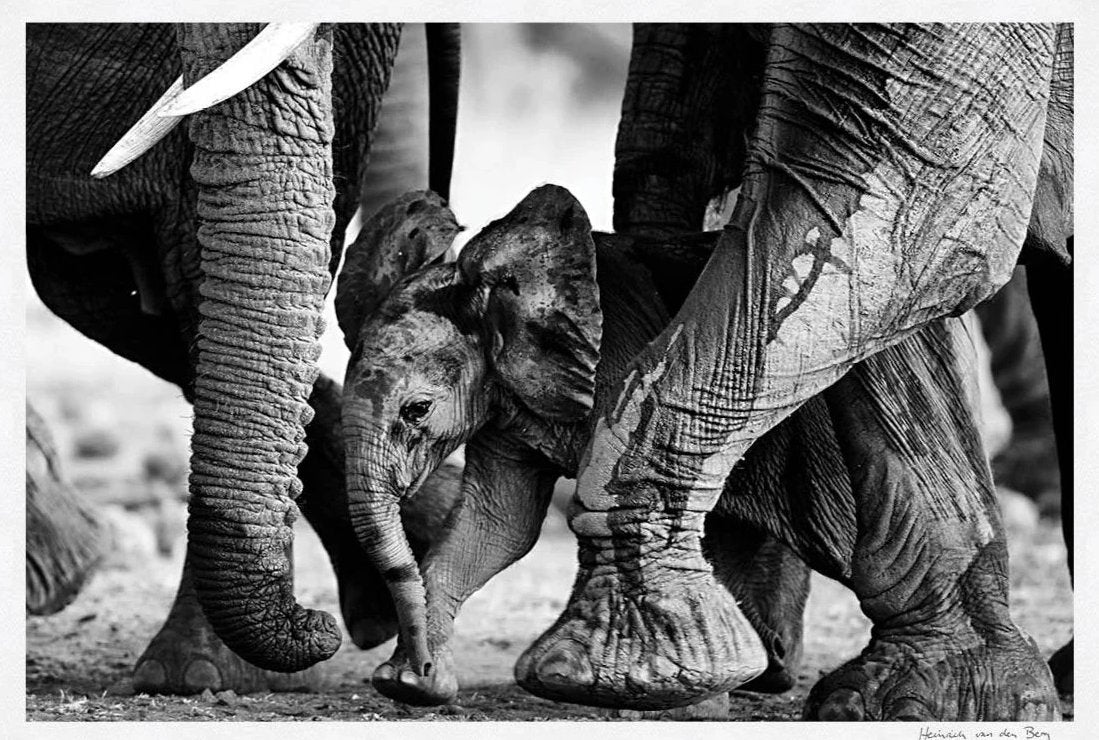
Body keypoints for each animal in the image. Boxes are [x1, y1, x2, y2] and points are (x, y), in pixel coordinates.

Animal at [332, 185, 815, 708]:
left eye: (417, 410)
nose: (417, 663)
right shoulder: (506, 394)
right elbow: (498, 524)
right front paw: (411, 685)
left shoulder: (616, 363)